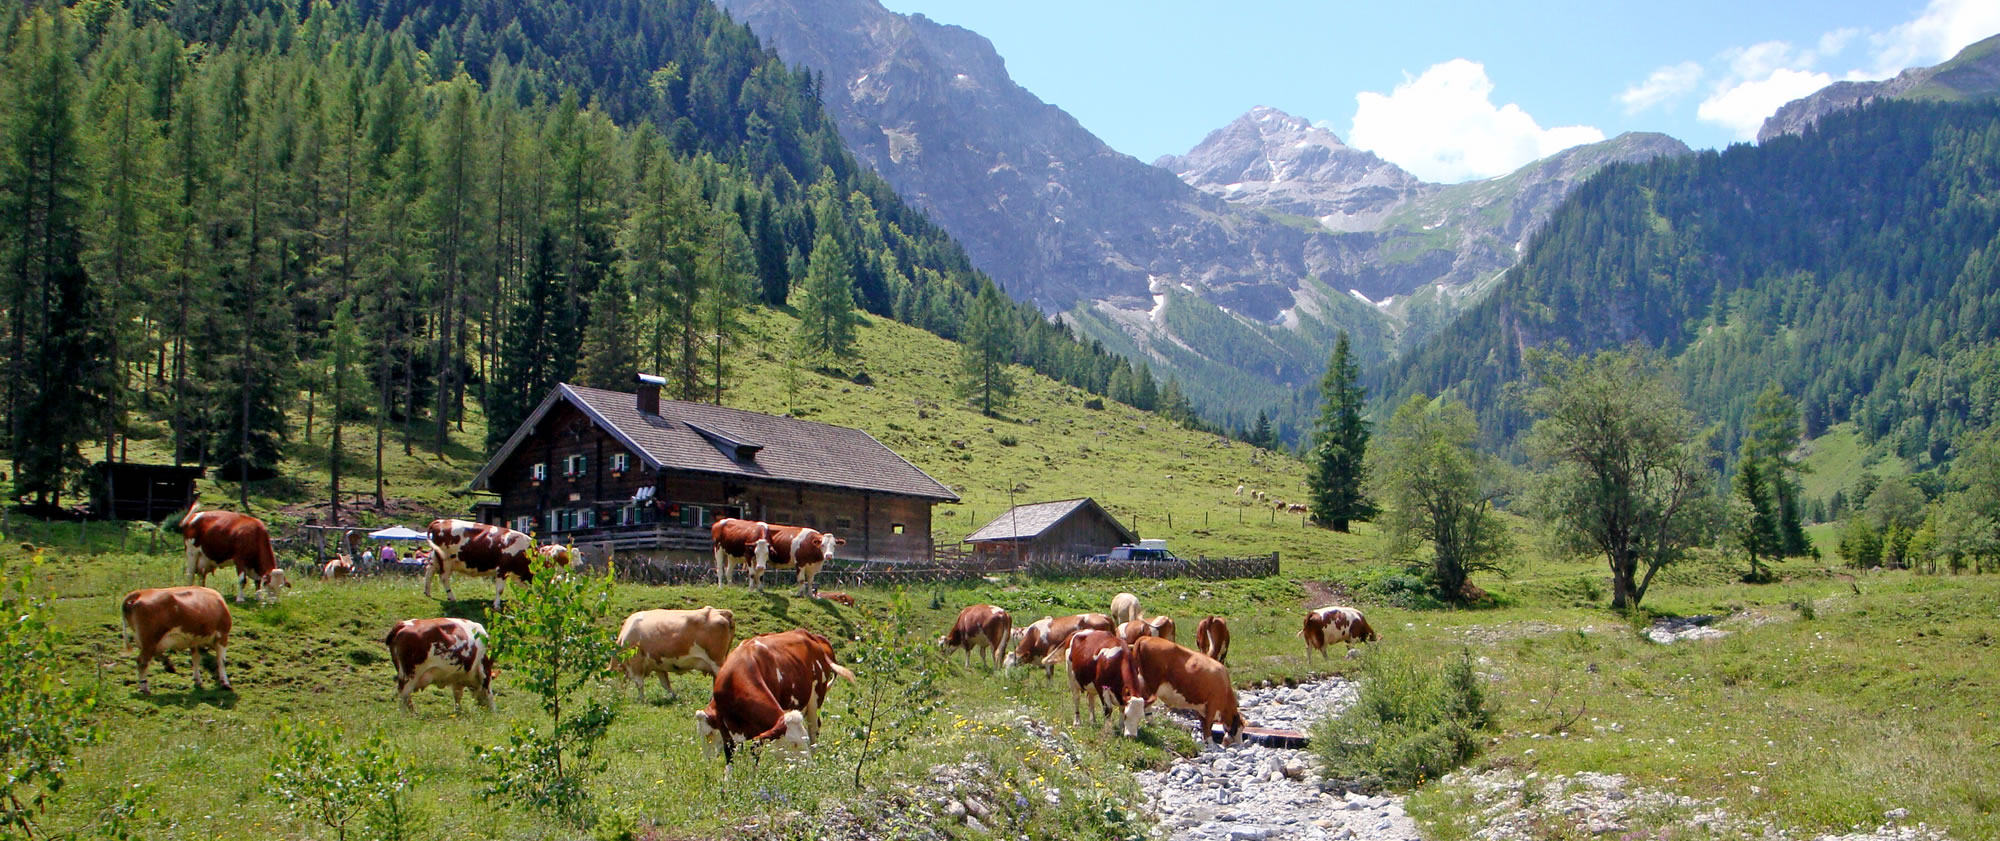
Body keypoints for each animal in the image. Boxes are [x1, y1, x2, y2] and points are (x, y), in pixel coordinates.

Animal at [612, 604, 740, 704]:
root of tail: (719, 611)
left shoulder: (636, 662)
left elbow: (639, 683)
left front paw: (641, 700)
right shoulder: (657, 664)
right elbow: (665, 683)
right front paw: (674, 697)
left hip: (716, 660)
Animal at [696, 632, 852, 760]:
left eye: (708, 734)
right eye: (704, 734)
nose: (708, 760)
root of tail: (808, 634)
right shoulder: (726, 727)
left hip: (816, 698)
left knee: (814, 729)